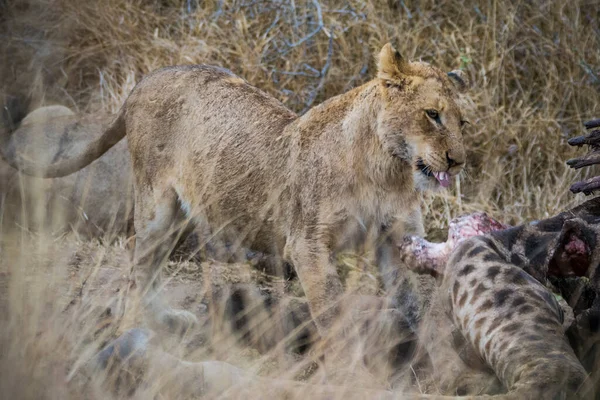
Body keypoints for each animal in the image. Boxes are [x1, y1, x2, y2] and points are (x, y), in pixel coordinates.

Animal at [2, 43, 472, 342]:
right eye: (432, 115)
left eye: (462, 122)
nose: (457, 161)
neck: (388, 170)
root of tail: (148, 78)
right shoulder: (307, 243)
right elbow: (330, 309)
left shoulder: (395, 238)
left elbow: (410, 303)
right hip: (156, 202)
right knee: (137, 252)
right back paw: (145, 323)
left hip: (180, 213)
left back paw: (164, 319)